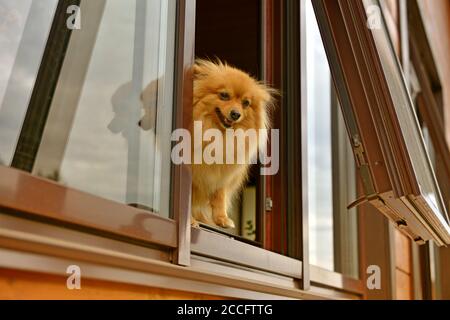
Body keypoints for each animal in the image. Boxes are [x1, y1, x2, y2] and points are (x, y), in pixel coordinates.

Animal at [191, 60, 274, 229]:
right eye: (224, 95)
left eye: (246, 103)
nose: (236, 114)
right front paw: (189, 220)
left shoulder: (223, 172)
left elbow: (219, 195)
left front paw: (222, 219)